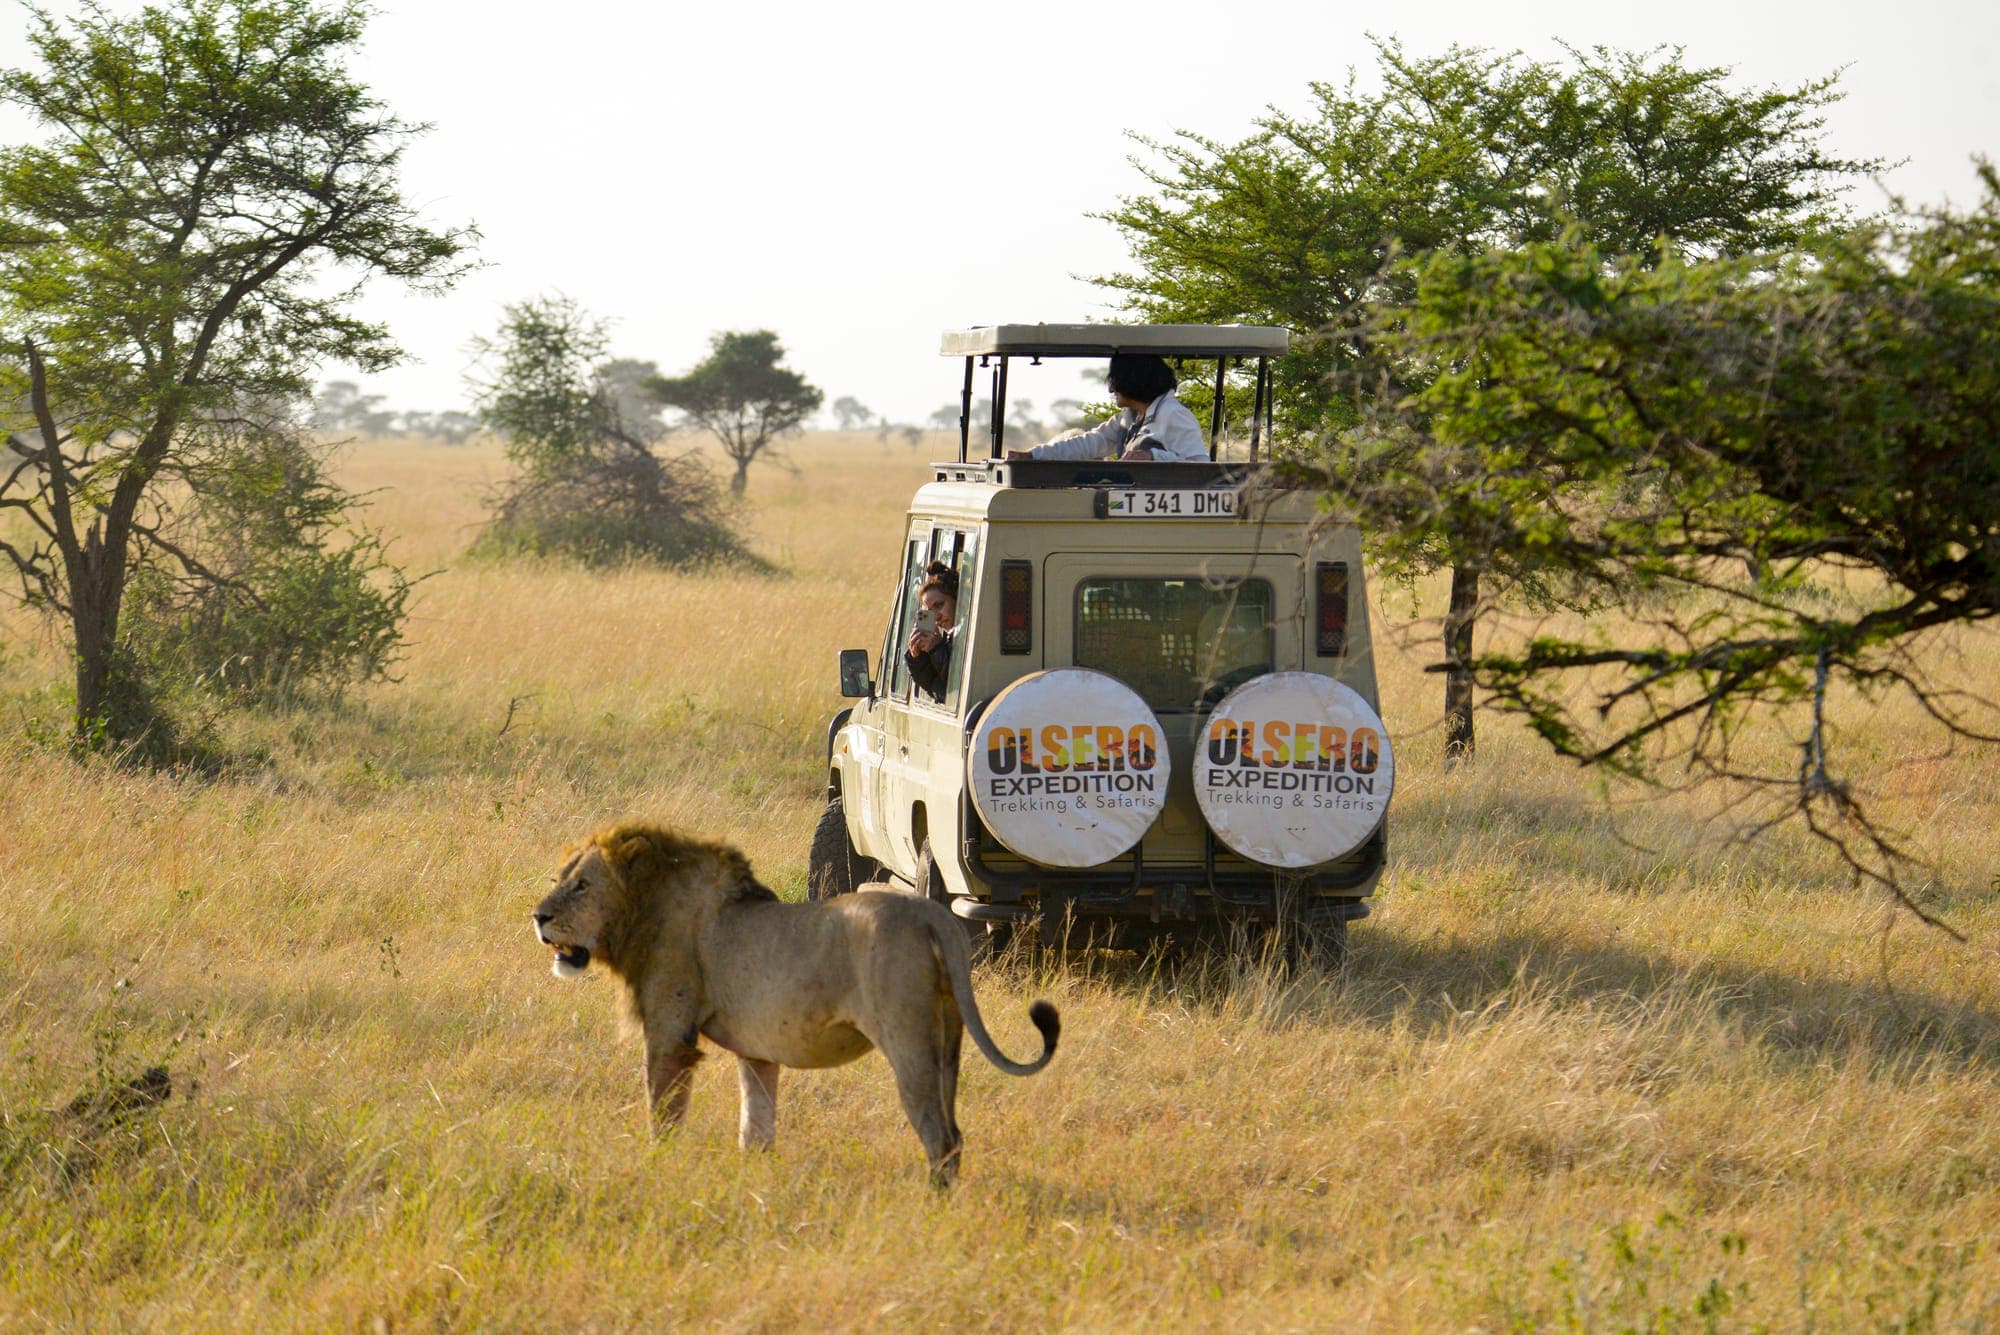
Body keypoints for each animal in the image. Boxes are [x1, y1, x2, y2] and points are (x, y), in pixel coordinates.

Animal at [531, 821, 1059, 1186]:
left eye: (581, 885)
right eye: (559, 877)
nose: (538, 916)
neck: (640, 911)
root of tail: (935, 916)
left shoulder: (670, 1035)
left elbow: (662, 1113)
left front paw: (659, 1166)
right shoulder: (757, 1051)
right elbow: (756, 1124)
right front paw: (753, 1181)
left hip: (908, 1038)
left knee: (938, 1135)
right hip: (949, 1036)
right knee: (955, 1133)